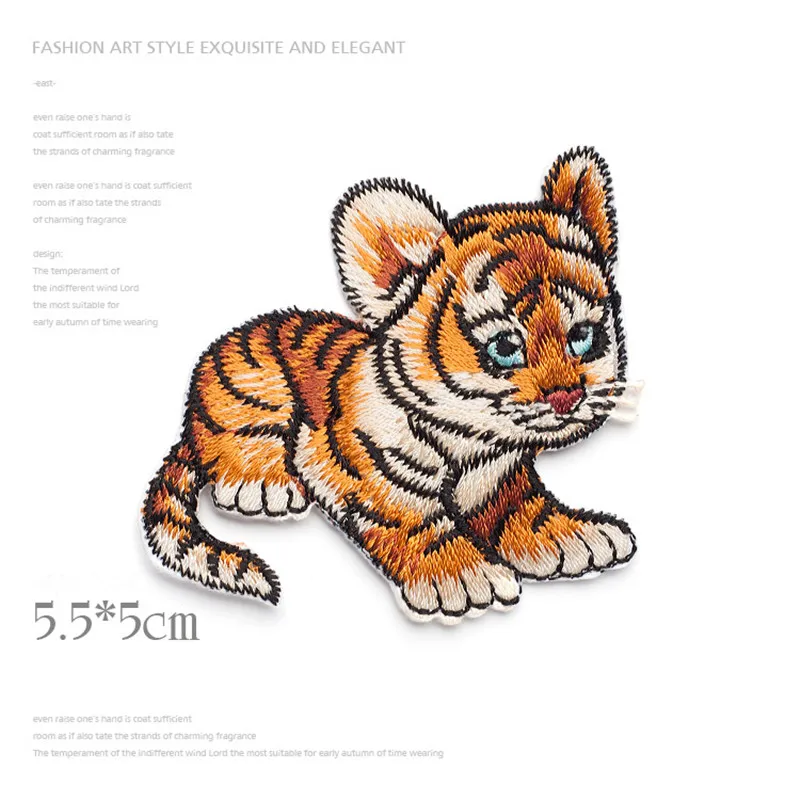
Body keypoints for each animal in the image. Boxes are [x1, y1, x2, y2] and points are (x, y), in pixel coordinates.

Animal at [142, 147, 641, 623]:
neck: (475, 442)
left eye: (583, 337)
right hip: (251, 390)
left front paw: (573, 536)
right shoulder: (363, 471)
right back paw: (265, 485)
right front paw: (462, 576)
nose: (568, 397)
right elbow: (412, 520)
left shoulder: (499, 478)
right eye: (505, 347)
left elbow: (522, 508)